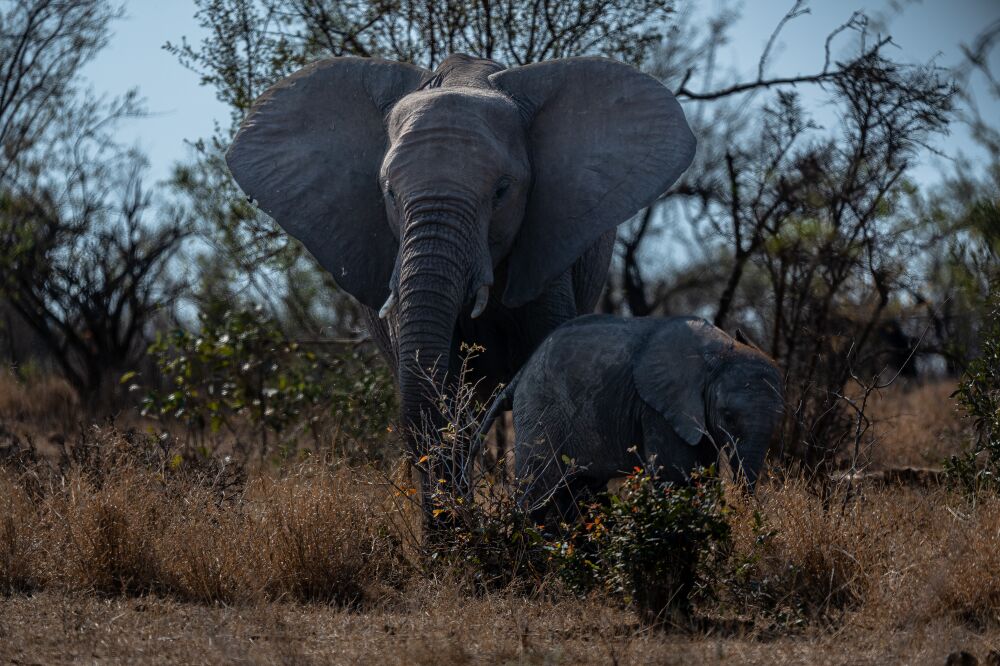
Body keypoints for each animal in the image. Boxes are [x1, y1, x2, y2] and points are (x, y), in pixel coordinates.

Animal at [480, 314, 784, 520]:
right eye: (728, 417)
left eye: (778, 421)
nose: (743, 511)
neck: (719, 353)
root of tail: (520, 374)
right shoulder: (658, 409)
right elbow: (677, 477)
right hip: (541, 409)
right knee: (539, 490)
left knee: (577, 491)